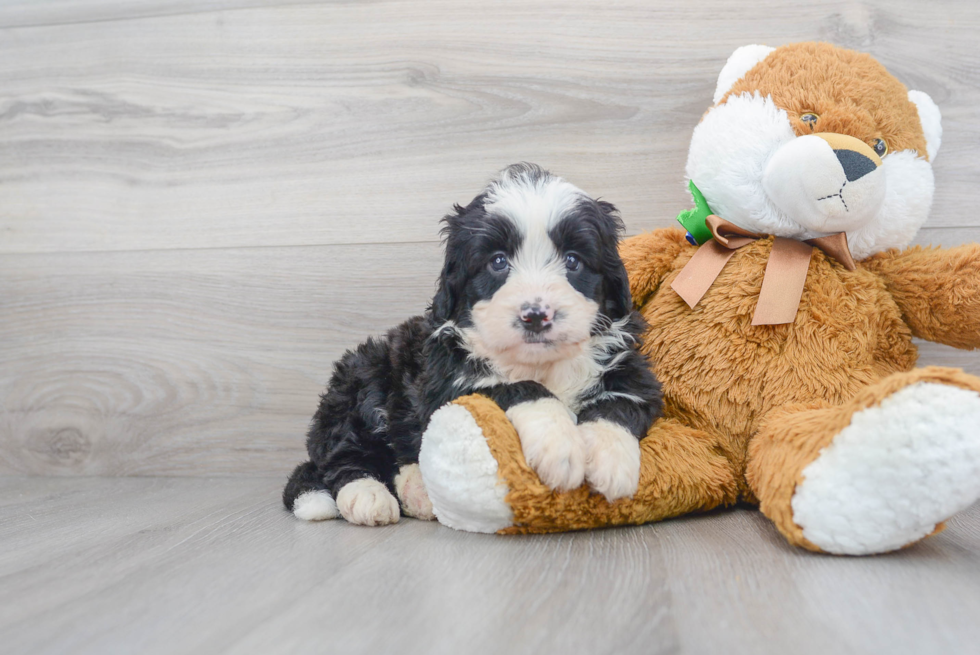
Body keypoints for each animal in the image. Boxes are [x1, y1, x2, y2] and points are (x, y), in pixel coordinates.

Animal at [286, 165, 668, 528]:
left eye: (573, 260)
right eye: (497, 261)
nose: (535, 316)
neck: (541, 364)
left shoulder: (633, 374)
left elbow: (617, 405)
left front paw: (609, 460)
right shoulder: (449, 385)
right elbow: (517, 387)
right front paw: (559, 445)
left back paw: (416, 490)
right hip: (362, 376)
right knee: (343, 457)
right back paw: (368, 496)